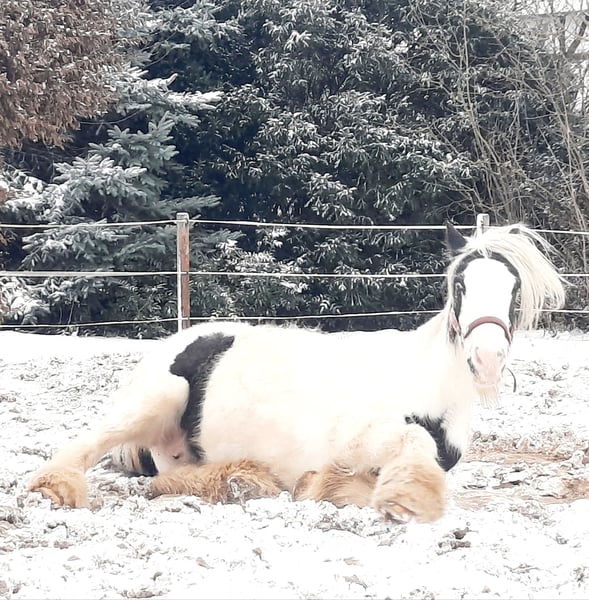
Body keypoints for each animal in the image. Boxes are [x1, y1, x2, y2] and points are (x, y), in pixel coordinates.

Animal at [28, 223, 566, 522]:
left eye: (514, 291)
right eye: (460, 286)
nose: (487, 358)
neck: (428, 385)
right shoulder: (364, 436)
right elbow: (412, 445)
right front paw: (405, 499)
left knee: (176, 478)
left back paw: (245, 480)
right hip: (152, 401)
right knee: (80, 451)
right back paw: (56, 487)